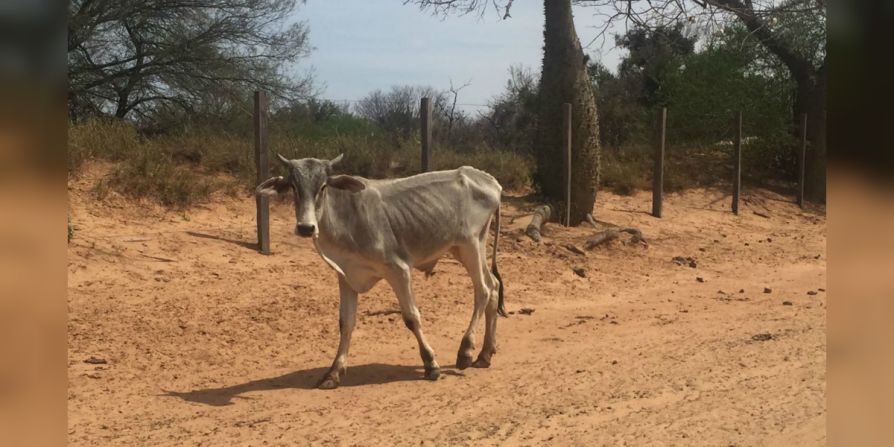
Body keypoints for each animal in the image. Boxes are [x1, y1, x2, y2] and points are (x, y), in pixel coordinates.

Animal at [258, 154, 504, 388]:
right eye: (293, 186)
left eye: (323, 186)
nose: (306, 228)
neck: (346, 217)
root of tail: (490, 180)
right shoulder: (346, 276)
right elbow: (346, 323)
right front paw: (333, 373)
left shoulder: (399, 270)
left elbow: (411, 317)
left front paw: (431, 364)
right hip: (464, 248)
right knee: (493, 286)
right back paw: (484, 354)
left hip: (470, 245)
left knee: (482, 290)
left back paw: (466, 351)